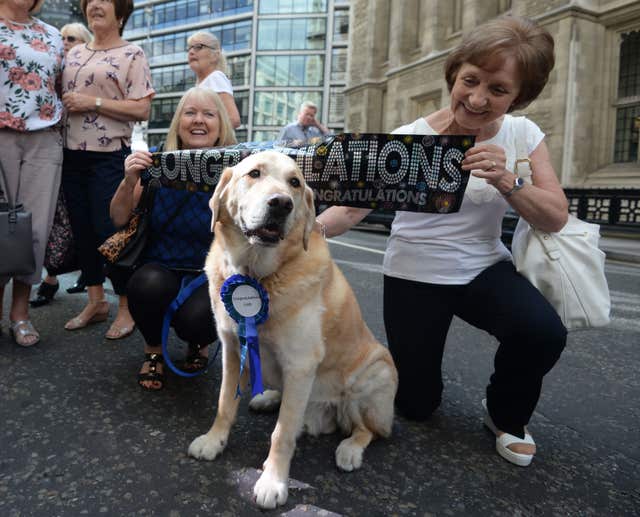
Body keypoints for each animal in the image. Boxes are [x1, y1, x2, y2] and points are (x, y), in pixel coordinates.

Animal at [188, 149, 398, 508]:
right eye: (254, 174)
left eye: (295, 183)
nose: (281, 203)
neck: (256, 275)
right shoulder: (232, 349)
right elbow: (224, 404)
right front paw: (214, 441)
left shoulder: (301, 364)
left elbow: (282, 433)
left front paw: (272, 482)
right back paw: (268, 397)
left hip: (373, 375)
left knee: (366, 430)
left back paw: (349, 450)